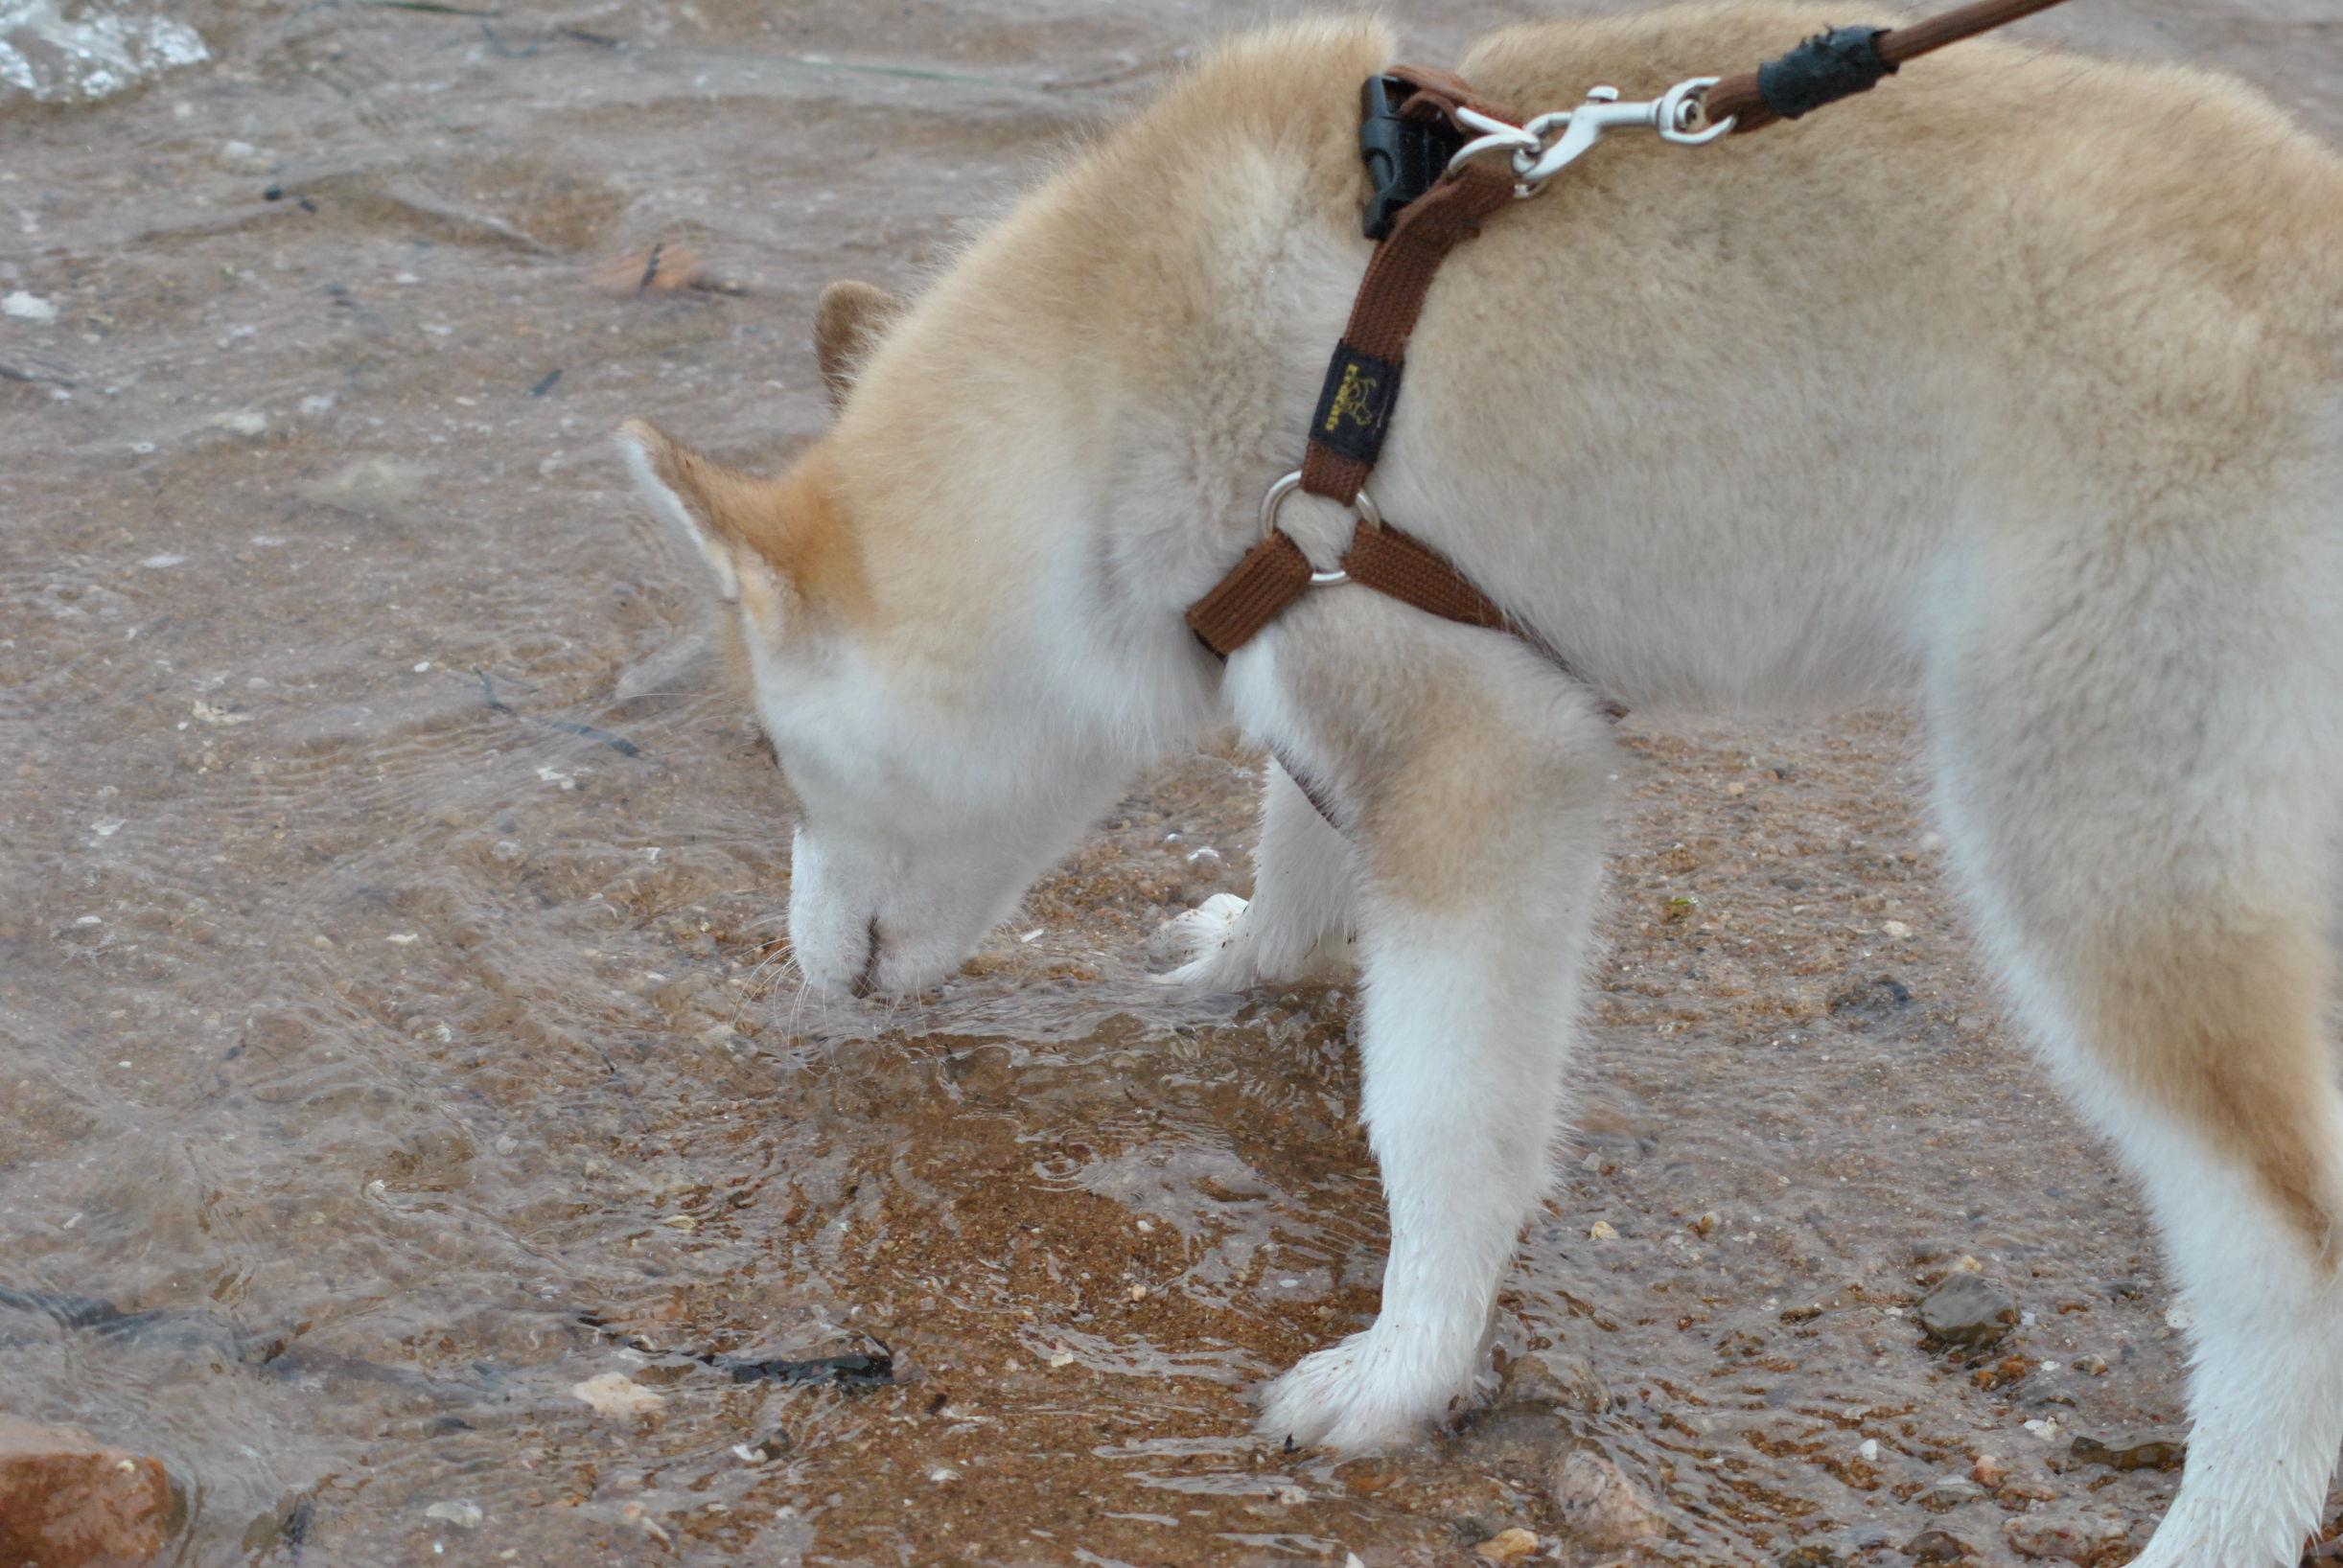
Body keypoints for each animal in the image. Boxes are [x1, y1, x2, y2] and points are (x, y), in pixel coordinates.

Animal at [618, 6, 2343, 1556]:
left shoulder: (1491, 764)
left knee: (2289, 1245)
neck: (1120, 383)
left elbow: (1444, 1120)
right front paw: (1241, 964)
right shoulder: (1332, 664)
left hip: (2094, 835)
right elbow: (1298, 856)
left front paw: (1406, 1366)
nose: (808, 972)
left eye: (771, 753)